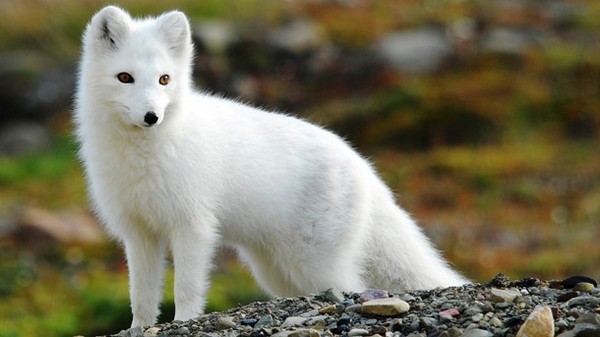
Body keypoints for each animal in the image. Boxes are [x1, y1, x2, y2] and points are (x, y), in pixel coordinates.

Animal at [74, 6, 468, 328]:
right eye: (124, 77)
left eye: (164, 79)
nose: (151, 116)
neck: (141, 156)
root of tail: (362, 165)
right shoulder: (138, 232)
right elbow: (141, 295)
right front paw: (138, 328)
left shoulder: (193, 226)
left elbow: (186, 288)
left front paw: (183, 321)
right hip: (275, 269)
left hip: (314, 264)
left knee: (352, 287)